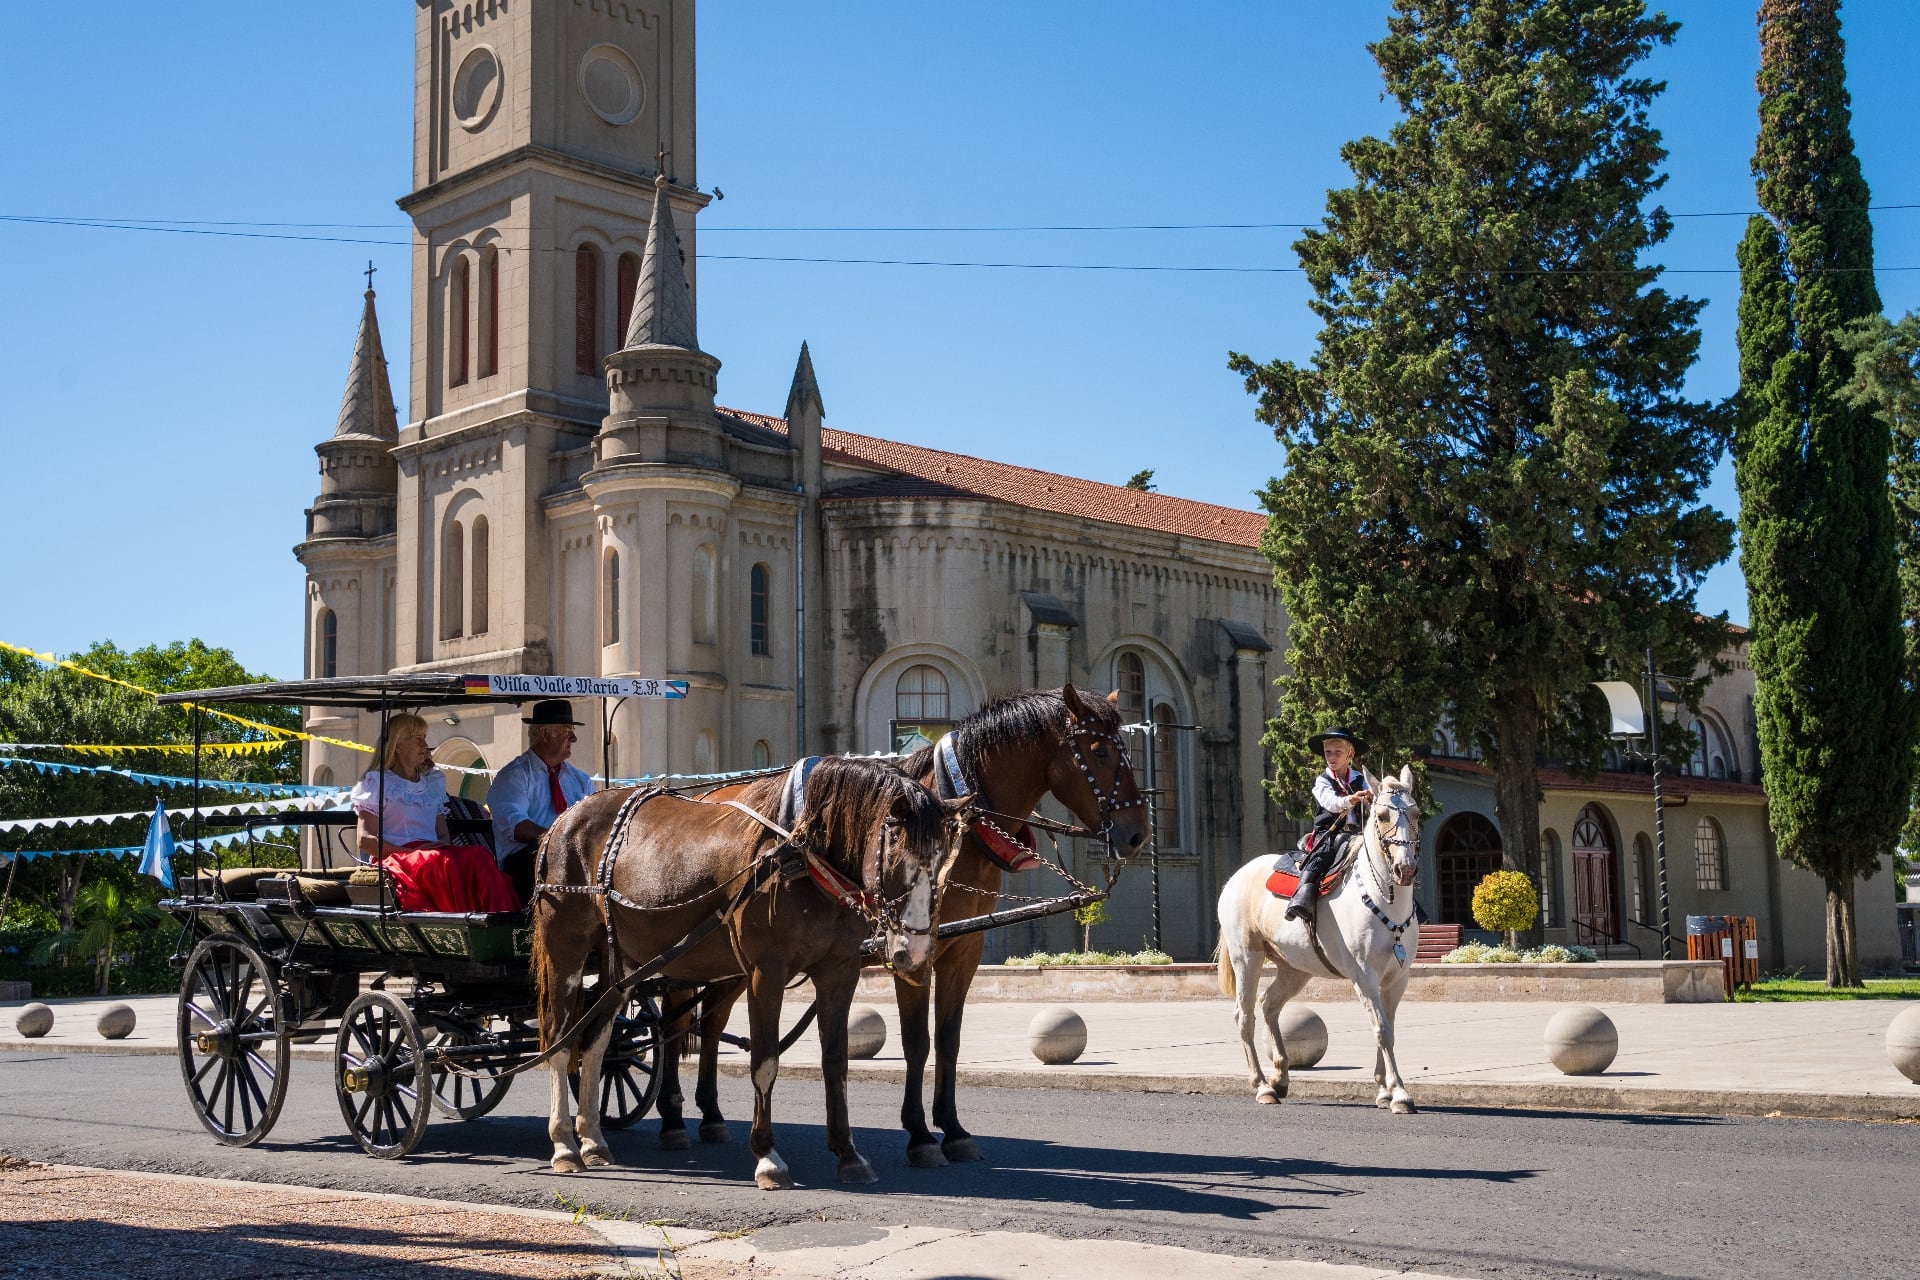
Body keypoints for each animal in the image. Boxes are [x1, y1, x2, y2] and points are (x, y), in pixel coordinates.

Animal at [533, 756, 967, 1189]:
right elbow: (765, 1061)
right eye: (896, 856)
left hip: (619, 960)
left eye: (943, 859)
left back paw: (592, 1138)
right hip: (567, 950)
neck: (804, 856)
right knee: (560, 1038)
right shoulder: (766, 973)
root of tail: (566, 819)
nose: (915, 952)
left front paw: (848, 1153)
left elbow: (836, 1061)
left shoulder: (839, 970)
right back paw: (565, 1144)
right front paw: (767, 1156)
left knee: (596, 1040)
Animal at [652, 690, 1144, 1174]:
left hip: (730, 961)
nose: (1137, 835)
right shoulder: (912, 950)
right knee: (675, 1019)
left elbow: (948, 1040)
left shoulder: (964, 948)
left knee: (710, 1024)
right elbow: (916, 1042)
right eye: (1099, 752)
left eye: (1128, 749)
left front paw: (954, 1130)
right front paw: (921, 1135)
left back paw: (710, 1114)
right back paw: (673, 1117)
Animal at [1213, 767, 1428, 1113]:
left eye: (1417, 813)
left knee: (1270, 1005)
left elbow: (1388, 1028)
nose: (1404, 868)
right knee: (1245, 1016)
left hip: (1295, 968)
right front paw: (1399, 1094)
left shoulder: (1398, 977)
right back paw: (1262, 1086)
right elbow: (1382, 1030)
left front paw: (1384, 1091)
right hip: (1247, 957)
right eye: (1381, 815)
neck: (1384, 901)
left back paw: (1280, 1078)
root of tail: (1235, 878)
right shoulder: (1364, 976)